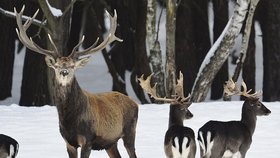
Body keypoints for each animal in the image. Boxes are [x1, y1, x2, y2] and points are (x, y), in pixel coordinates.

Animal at [14, 5, 139, 158]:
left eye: (72, 66)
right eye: (57, 66)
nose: (64, 72)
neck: (69, 121)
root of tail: (135, 103)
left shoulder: (87, 139)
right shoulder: (68, 142)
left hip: (130, 131)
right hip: (110, 142)